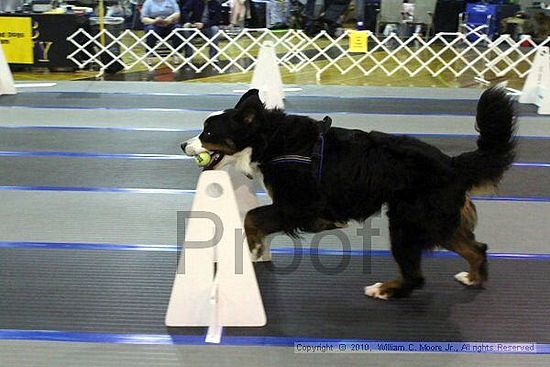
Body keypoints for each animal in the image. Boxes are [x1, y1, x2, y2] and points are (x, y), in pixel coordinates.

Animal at [183, 87, 520, 300]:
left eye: (208, 132)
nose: (184, 145)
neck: (271, 141)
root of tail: (452, 163)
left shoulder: (299, 204)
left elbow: (253, 218)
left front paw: (253, 248)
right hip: (437, 223)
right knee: (477, 248)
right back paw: (472, 277)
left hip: (409, 223)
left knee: (416, 276)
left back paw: (385, 290)